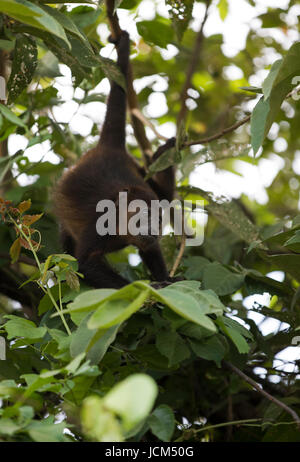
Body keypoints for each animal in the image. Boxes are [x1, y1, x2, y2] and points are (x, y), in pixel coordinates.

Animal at [54, 30, 175, 286]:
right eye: (143, 216)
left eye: (159, 220)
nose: (153, 229)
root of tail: (110, 149)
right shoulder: (100, 221)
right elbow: (85, 264)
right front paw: (150, 288)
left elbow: (150, 249)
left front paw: (167, 279)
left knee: (166, 196)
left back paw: (164, 156)